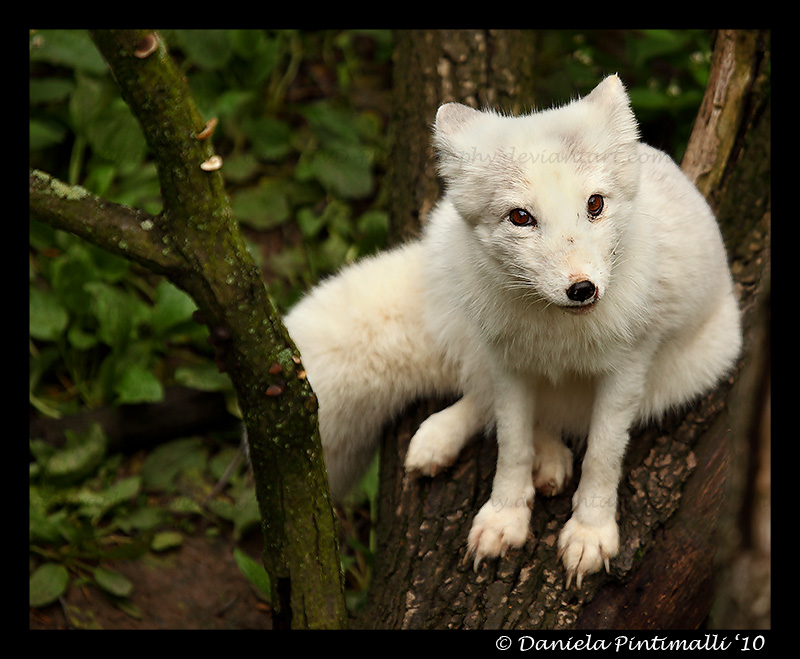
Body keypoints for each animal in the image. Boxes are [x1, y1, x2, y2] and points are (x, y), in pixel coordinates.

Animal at [284, 76, 740, 588]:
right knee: (486, 398)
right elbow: (511, 443)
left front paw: (590, 532)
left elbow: (603, 455)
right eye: (521, 217)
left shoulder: (628, 369)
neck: (558, 334)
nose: (582, 288)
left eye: (595, 204)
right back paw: (451, 440)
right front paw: (504, 517)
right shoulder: (508, 364)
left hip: (686, 374)